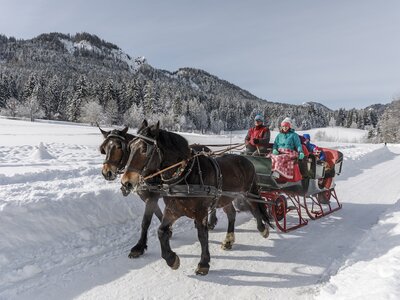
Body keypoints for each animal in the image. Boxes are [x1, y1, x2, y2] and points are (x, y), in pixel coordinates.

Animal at [120, 120, 270, 276]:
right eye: (130, 146)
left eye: (144, 149)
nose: (126, 182)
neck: (185, 175)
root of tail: (246, 159)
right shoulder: (173, 209)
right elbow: (161, 231)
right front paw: (171, 259)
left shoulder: (200, 212)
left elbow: (202, 235)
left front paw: (203, 263)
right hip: (225, 198)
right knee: (231, 214)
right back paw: (228, 240)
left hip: (248, 193)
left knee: (255, 208)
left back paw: (262, 229)